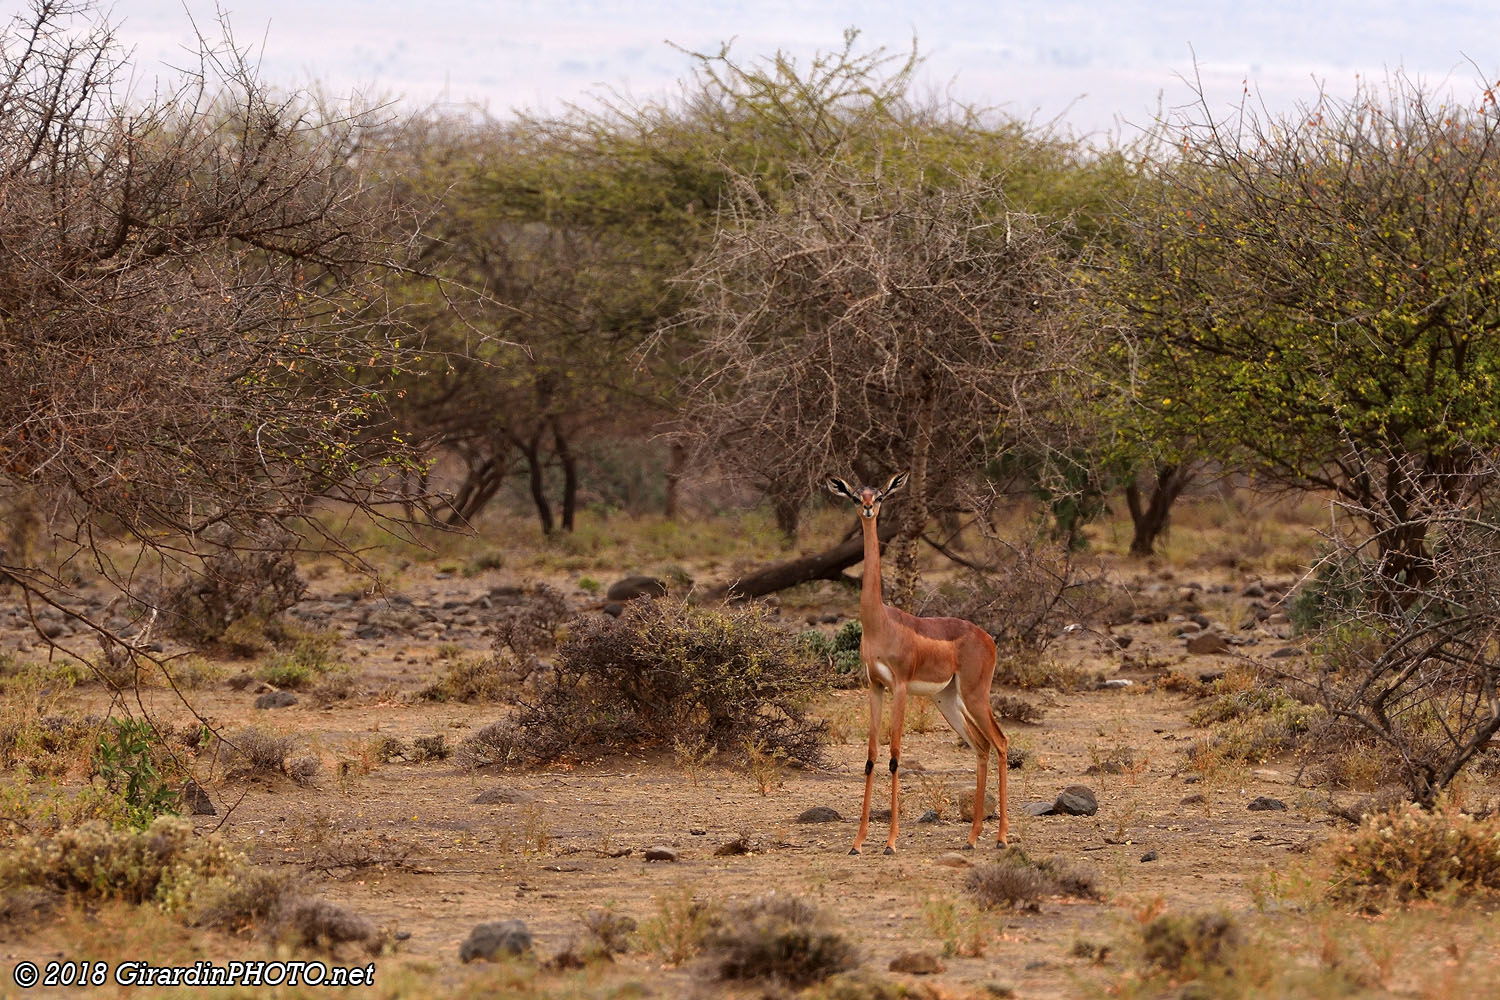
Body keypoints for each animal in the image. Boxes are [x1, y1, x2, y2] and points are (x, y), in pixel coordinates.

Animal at [826, 472, 1009, 854]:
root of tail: (987, 638)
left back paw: (1001, 838)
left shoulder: (899, 687)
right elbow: (871, 757)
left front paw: (891, 842)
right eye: (855, 496)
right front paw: (857, 842)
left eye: (881, 495)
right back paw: (971, 838)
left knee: (1000, 743)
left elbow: (895, 756)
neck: (880, 623)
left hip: (975, 695)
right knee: (981, 746)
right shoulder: (874, 687)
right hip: (948, 701)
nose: (868, 509)